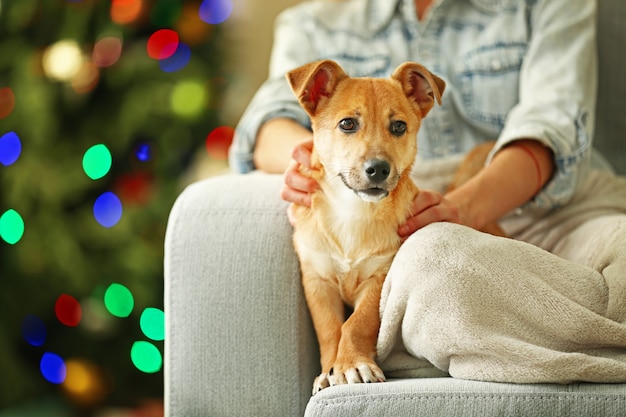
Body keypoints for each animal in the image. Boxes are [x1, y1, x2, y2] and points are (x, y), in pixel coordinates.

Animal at [286, 59, 500, 394]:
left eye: (398, 127)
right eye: (347, 124)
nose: (378, 169)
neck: (353, 211)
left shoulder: (380, 277)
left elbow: (356, 324)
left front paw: (352, 365)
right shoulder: (317, 281)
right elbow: (330, 329)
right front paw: (329, 371)